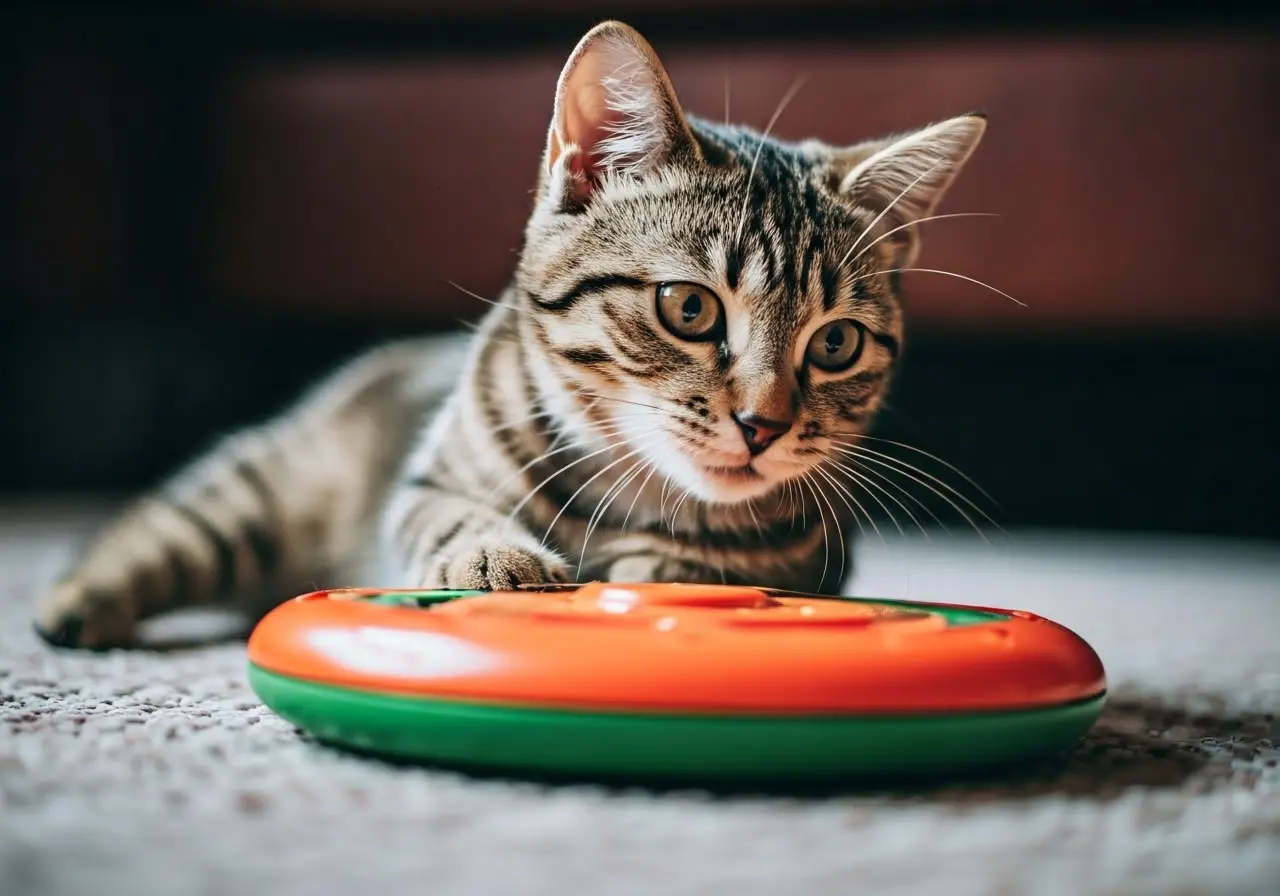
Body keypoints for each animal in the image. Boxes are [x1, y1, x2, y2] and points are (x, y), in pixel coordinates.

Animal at [32, 20, 988, 647]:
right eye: (689, 309)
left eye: (835, 345)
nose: (765, 424)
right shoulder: (428, 477)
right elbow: (447, 512)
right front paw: (496, 556)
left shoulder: (819, 553)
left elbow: (729, 565)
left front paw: (672, 571)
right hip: (264, 491)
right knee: (160, 525)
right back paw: (74, 601)